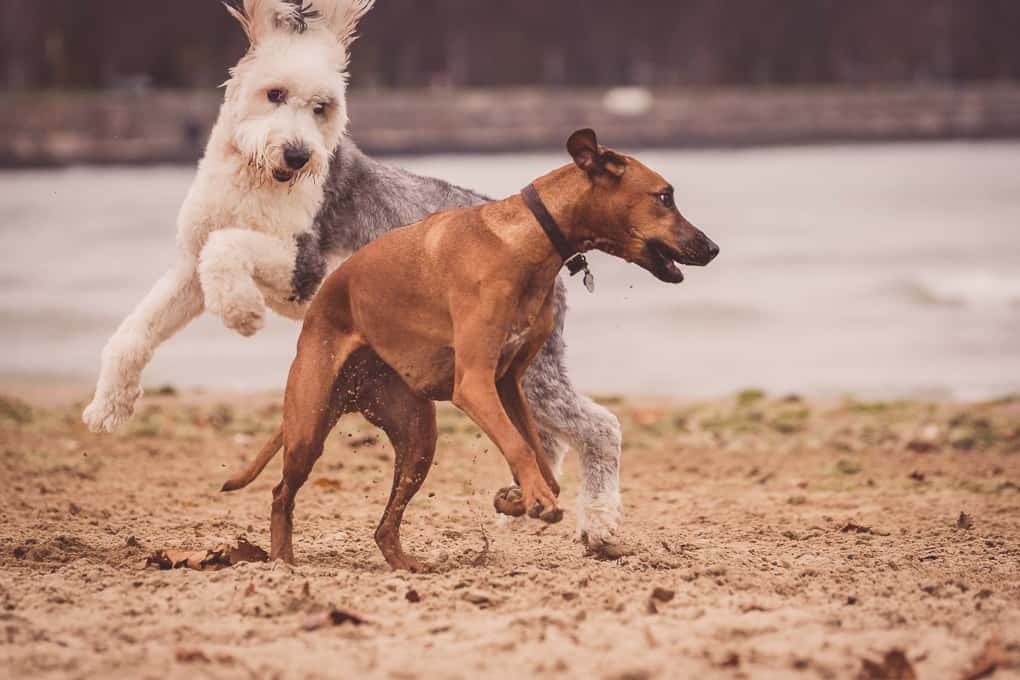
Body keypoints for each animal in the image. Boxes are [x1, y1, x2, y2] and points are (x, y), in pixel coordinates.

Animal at [82, 0, 371, 434]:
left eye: (321, 107)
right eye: (275, 93)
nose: (298, 155)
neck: (251, 182)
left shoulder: (308, 266)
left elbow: (228, 243)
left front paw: (243, 312)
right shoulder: (191, 269)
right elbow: (135, 331)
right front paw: (108, 407)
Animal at [223, 128, 718, 570]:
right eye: (664, 197)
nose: (712, 247)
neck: (527, 239)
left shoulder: (508, 382)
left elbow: (540, 458)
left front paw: (519, 497)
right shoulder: (476, 383)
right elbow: (520, 448)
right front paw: (534, 496)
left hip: (418, 437)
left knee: (384, 526)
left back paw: (406, 563)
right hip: (309, 424)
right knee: (281, 493)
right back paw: (282, 560)